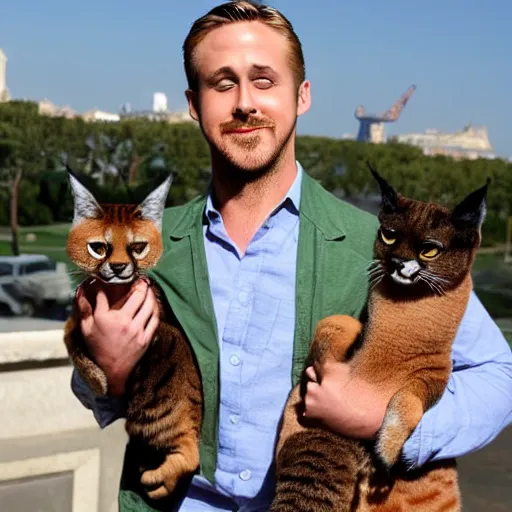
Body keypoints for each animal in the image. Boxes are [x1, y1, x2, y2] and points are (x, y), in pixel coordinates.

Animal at [62, 167, 202, 500]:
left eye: (138, 247)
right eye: (98, 247)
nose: (119, 267)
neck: (112, 293)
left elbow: (68, 333)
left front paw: (97, 381)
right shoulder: (80, 313)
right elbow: (68, 333)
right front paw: (97, 379)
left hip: (152, 406)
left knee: (191, 454)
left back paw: (154, 480)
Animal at [270, 168, 490, 512]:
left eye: (429, 249)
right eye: (388, 235)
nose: (398, 261)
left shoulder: (433, 378)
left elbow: (408, 403)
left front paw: (386, 451)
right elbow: (336, 324)